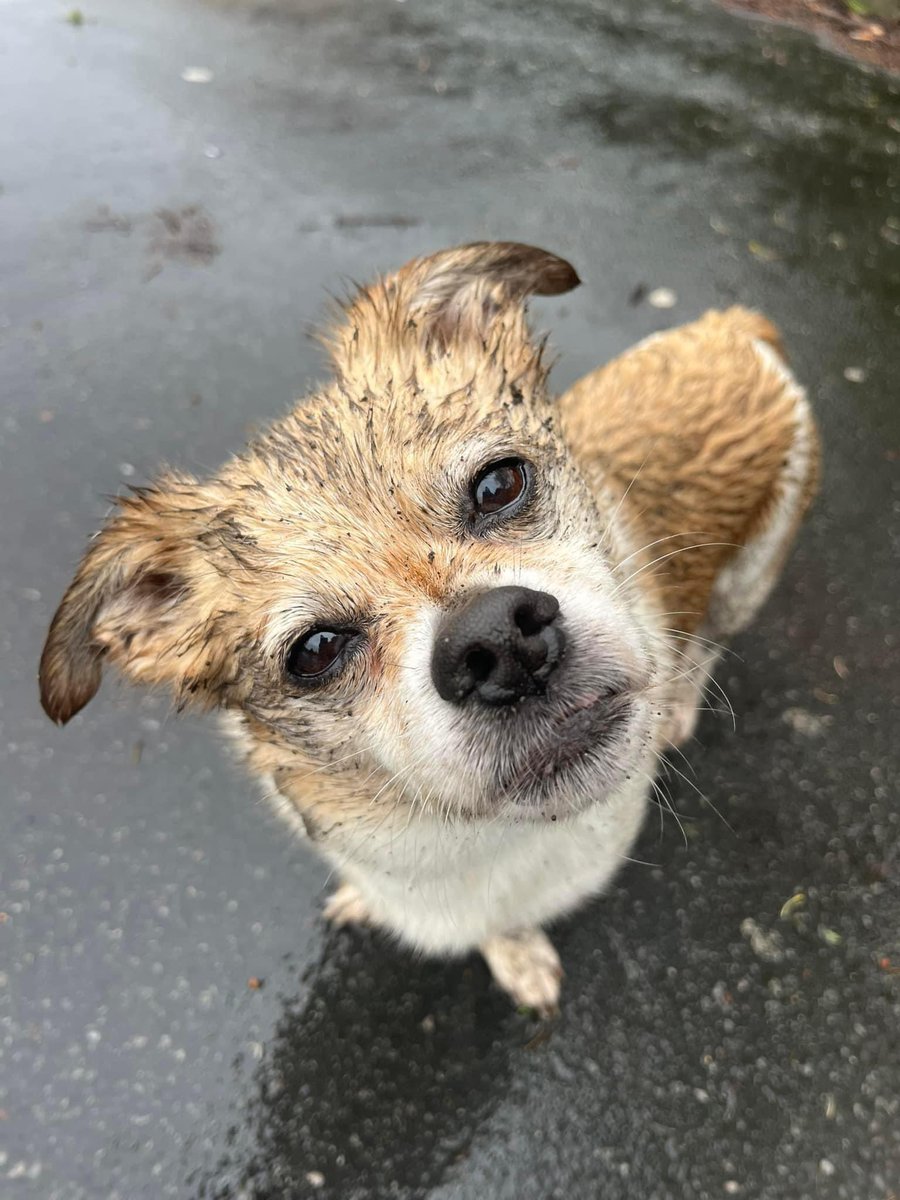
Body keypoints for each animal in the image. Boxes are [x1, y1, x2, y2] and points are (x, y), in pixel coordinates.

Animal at [38, 243, 820, 1012]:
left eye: (500, 483)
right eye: (315, 650)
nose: (497, 642)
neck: (459, 836)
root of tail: (730, 326)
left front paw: (518, 955)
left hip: (751, 573)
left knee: (708, 644)